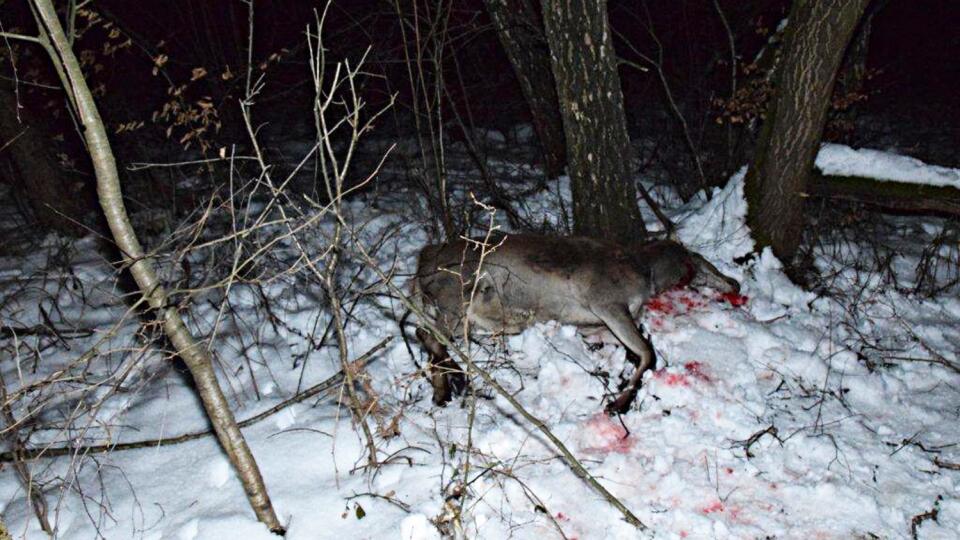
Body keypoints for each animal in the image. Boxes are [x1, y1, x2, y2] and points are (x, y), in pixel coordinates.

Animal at [408, 233, 740, 414]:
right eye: (696, 262)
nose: (733, 282)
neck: (643, 270)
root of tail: (422, 261)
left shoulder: (596, 325)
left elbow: (637, 349)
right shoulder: (607, 303)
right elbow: (648, 352)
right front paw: (618, 403)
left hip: (461, 310)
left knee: (425, 334)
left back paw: (443, 391)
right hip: (455, 300)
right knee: (429, 334)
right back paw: (453, 381)